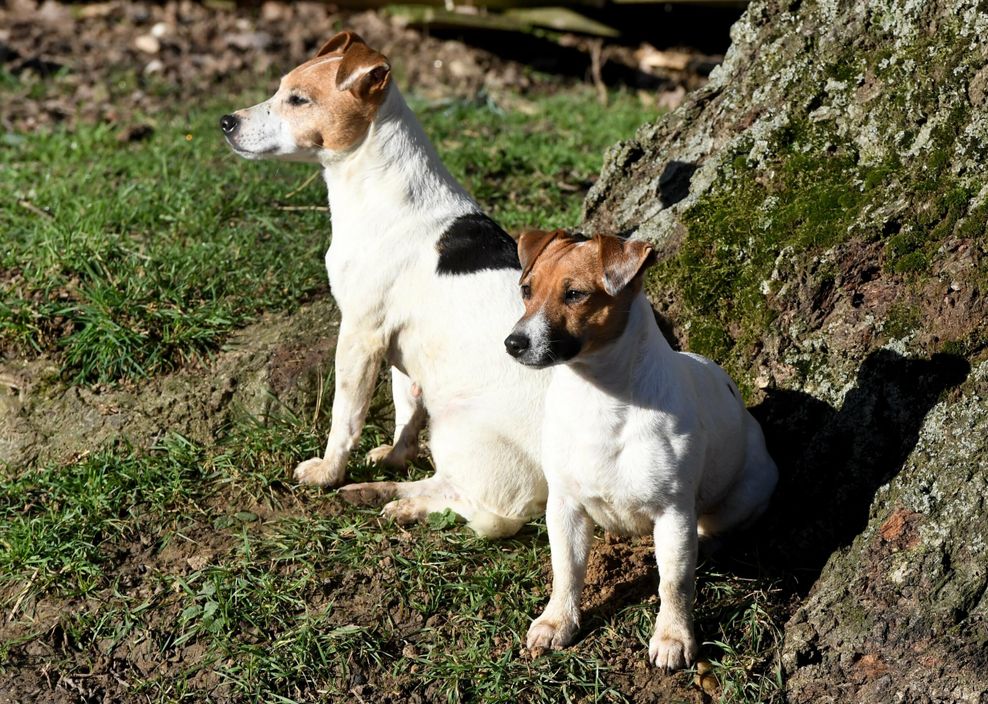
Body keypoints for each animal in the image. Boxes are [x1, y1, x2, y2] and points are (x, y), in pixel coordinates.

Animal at [506, 231, 776, 672]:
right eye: (526, 290)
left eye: (575, 294)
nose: (513, 343)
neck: (599, 396)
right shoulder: (564, 506)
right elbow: (566, 570)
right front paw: (557, 621)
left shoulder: (674, 513)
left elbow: (675, 582)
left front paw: (673, 636)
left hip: (747, 493)